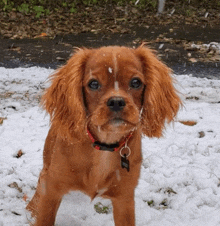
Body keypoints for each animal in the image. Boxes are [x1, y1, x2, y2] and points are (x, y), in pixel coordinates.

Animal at [26, 45, 180, 225]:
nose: (116, 101)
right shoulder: (52, 190)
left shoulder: (124, 198)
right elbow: (44, 215)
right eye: (93, 84)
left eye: (136, 82)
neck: (105, 144)